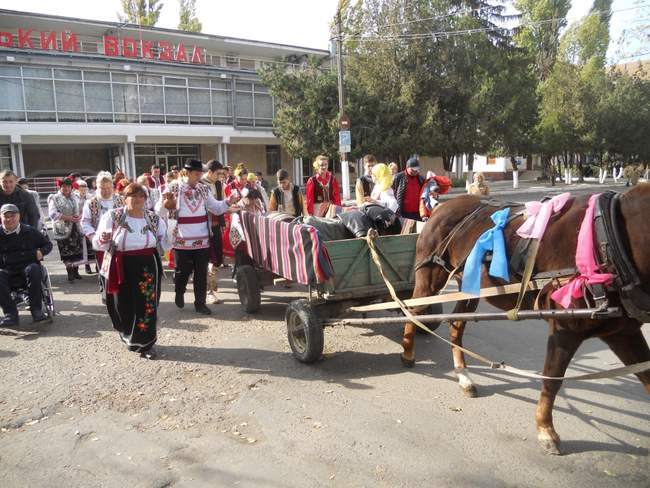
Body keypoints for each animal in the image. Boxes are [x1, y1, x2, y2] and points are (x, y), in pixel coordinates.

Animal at [402, 184, 648, 454]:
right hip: (429, 279)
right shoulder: (565, 328)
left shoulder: (622, 332)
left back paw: (464, 377)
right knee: (412, 311)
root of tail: (440, 207)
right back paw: (407, 353)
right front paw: (546, 430)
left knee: (455, 326)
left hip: (469, 288)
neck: (609, 235)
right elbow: (552, 379)